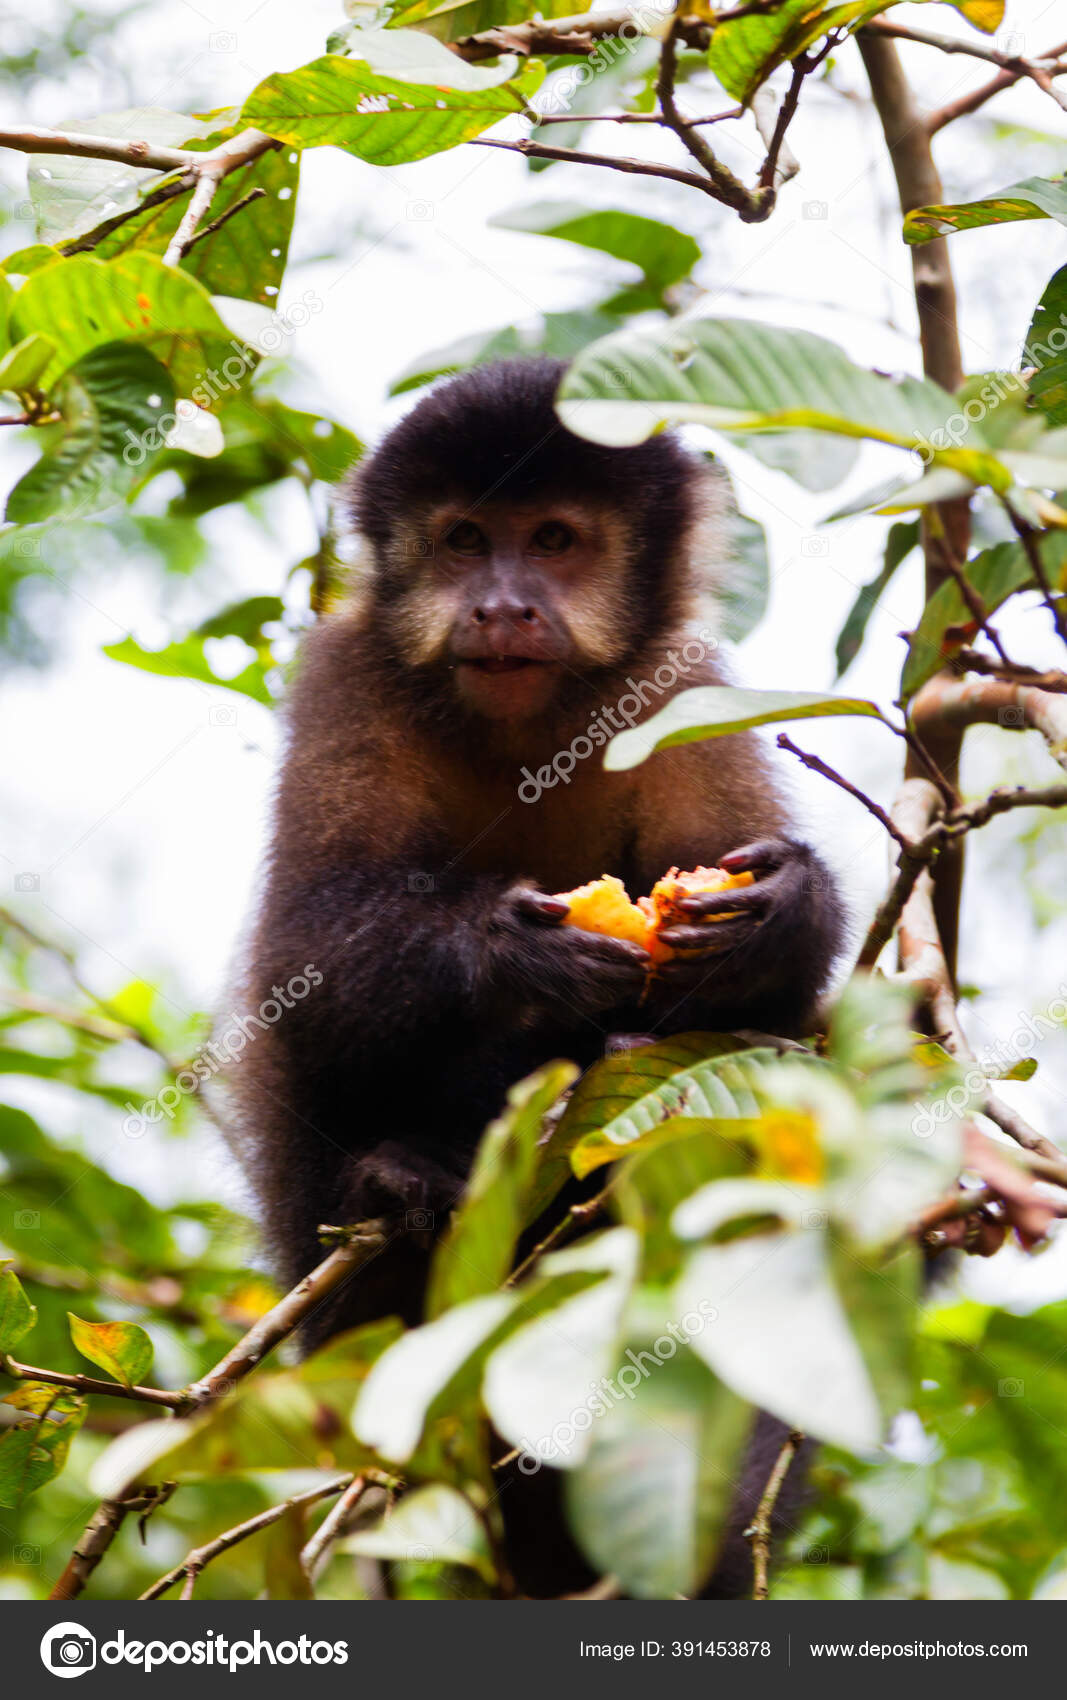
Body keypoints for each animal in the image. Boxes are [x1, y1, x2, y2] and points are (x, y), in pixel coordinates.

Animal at [226, 356, 843, 1595]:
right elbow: (299, 964)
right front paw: (513, 954)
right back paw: (389, 1201)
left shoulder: (682, 687)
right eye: (465, 540)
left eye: (553, 539)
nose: (501, 604)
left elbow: (776, 1004)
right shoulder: (348, 674)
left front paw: (779, 913)